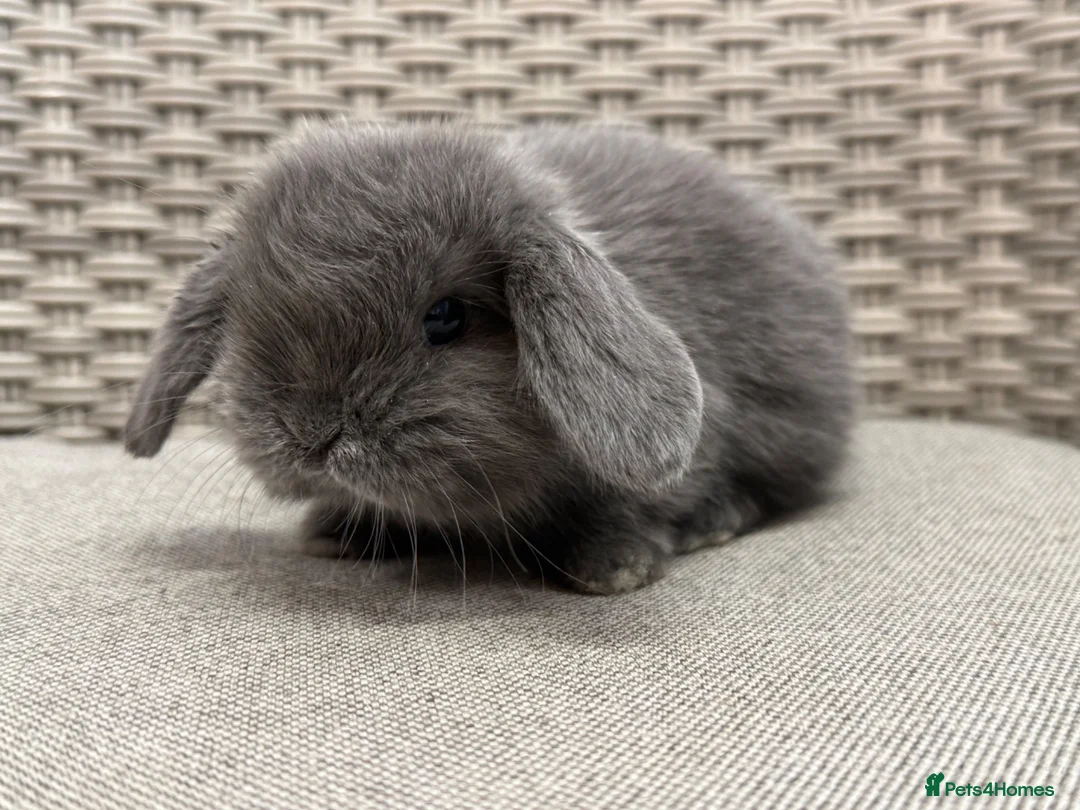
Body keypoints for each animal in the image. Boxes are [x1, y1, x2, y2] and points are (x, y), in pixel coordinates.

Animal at [124, 120, 854, 595]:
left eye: (446, 317)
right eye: (246, 315)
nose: (311, 435)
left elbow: (635, 505)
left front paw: (612, 568)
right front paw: (336, 533)